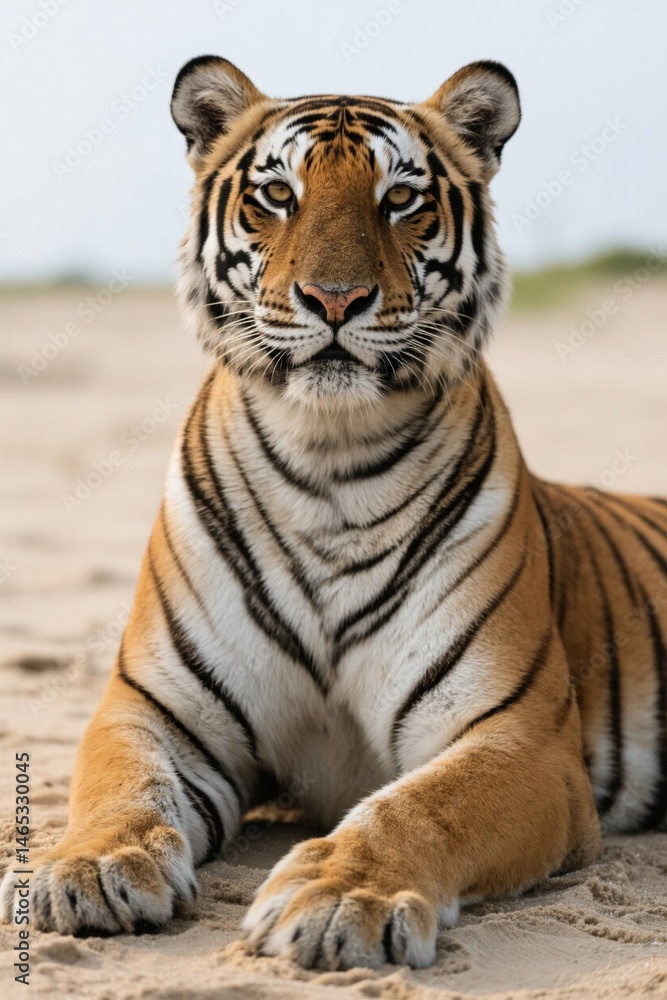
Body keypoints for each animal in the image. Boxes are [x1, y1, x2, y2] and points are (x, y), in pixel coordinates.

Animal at [3, 55, 666, 972]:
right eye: (278, 195)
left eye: (400, 198)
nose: (335, 298)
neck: (330, 462)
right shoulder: (156, 708)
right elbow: (121, 786)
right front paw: (90, 869)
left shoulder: (517, 737)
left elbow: (418, 806)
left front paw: (339, 896)